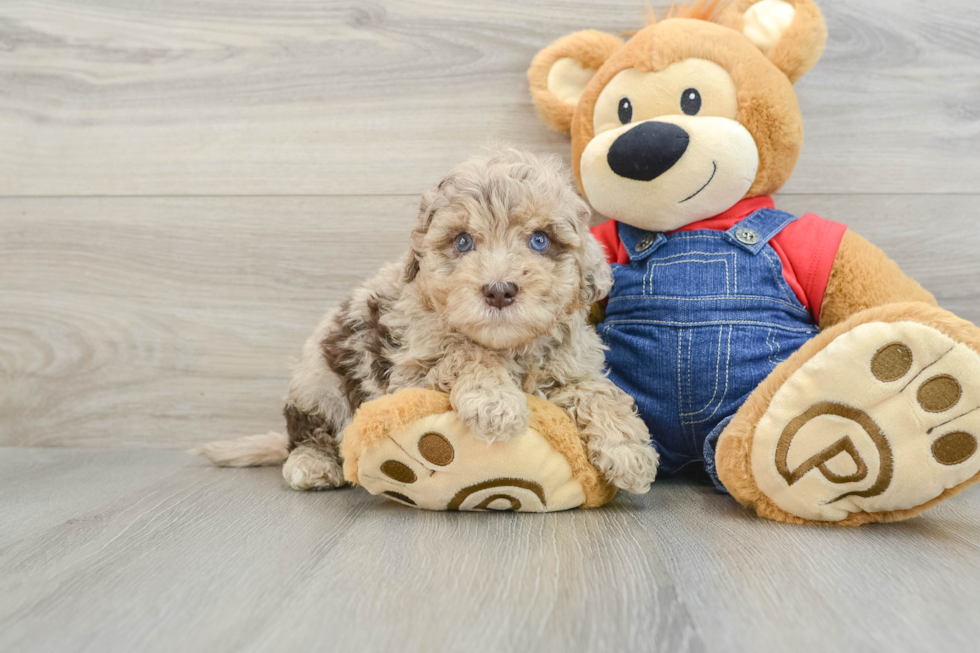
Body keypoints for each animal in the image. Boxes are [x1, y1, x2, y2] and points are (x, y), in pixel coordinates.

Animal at [193, 146, 660, 494]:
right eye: (463, 242)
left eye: (540, 241)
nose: (499, 290)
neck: (507, 345)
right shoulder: (411, 370)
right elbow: (461, 354)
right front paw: (496, 401)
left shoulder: (570, 367)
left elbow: (599, 392)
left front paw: (628, 450)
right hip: (319, 381)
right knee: (309, 434)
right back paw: (312, 464)